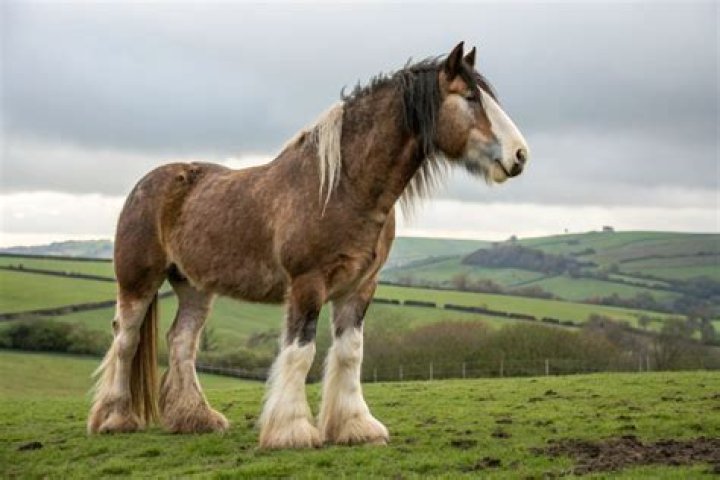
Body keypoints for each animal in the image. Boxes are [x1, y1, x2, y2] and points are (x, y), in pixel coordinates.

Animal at [87, 41, 529, 449]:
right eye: (469, 97)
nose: (520, 155)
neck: (343, 187)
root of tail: (149, 183)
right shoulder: (307, 284)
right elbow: (300, 352)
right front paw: (292, 431)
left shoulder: (359, 287)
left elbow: (350, 352)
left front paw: (354, 426)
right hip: (138, 283)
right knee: (125, 340)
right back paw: (115, 419)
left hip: (194, 287)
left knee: (181, 342)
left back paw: (196, 419)